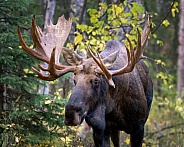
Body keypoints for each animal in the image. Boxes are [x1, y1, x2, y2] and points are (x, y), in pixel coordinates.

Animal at [17, 14, 152, 147]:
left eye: (96, 81)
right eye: (74, 80)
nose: (70, 113)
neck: (113, 106)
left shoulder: (139, 127)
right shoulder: (101, 131)